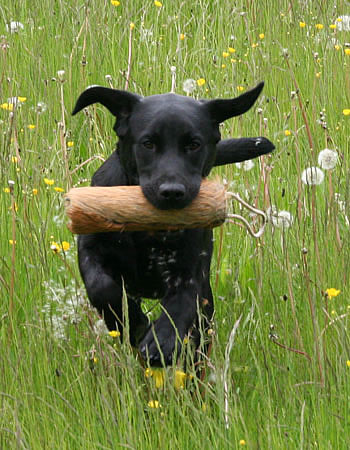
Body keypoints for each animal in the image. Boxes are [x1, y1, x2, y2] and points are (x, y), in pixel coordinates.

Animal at [72, 81, 274, 366]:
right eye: (147, 143)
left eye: (194, 144)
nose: (172, 192)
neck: (148, 232)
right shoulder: (90, 251)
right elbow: (102, 288)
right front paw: (133, 323)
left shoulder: (191, 274)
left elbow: (181, 305)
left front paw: (162, 342)